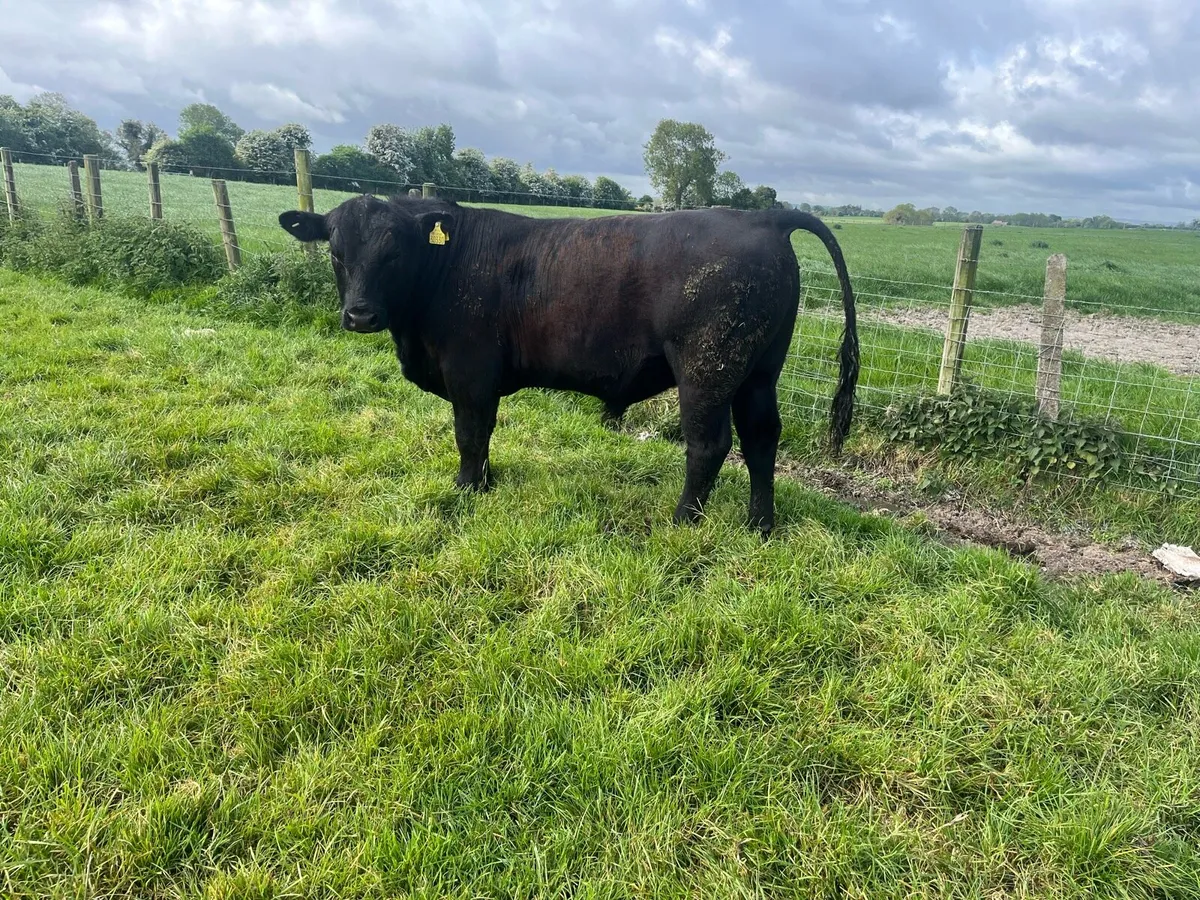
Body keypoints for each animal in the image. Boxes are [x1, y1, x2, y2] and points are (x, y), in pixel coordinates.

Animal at [278, 196, 858, 536]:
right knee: (761, 438)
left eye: (394, 251)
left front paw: (467, 490)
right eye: (336, 251)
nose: (360, 315)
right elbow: (482, 435)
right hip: (760, 370)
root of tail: (762, 215)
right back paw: (760, 525)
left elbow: (470, 434)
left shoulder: (470, 374)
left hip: (707, 368)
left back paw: (681, 523)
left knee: (710, 445)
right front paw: (483, 482)